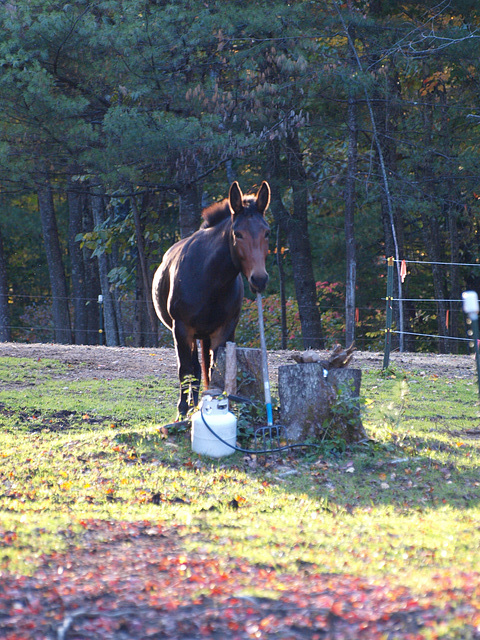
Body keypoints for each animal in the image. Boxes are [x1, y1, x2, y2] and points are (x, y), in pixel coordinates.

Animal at [153, 181, 270, 420]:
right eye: (238, 234)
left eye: (267, 233)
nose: (259, 279)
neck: (210, 279)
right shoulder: (182, 329)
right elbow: (185, 370)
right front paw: (182, 411)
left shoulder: (223, 331)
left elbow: (215, 370)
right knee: (193, 369)